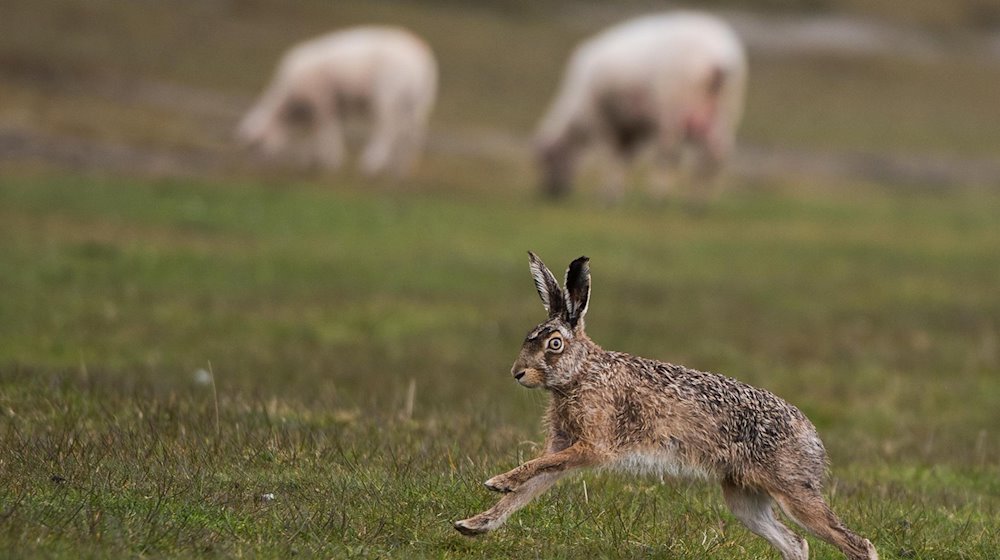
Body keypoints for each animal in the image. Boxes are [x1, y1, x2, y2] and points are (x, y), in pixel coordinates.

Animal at [238, 26, 438, 179]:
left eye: (255, 144)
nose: (252, 167)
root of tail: (420, 55)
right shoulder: (333, 105)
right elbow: (321, 131)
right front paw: (311, 159)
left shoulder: (322, 100)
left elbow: (326, 130)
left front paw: (330, 161)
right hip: (419, 103)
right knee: (411, 133)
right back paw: (400, 169)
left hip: (387, 94)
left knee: (388, 129)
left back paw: (371, 163)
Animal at [458, 254, 880, 560]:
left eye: (555, 344)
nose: (517, 373)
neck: (581, 374)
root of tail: (811, 434)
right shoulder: (565, 447)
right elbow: (530, 486)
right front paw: (474, 524)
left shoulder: (594, 446)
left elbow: (535, 469)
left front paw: (497, 481)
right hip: (743, 498)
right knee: (796, 543)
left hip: (793, 490)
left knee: (858, 544)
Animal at [536, 11, 748, 201]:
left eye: (548, 159)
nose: (551, 193)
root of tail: (717, 55)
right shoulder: (633, 129)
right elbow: (625, 160)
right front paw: (617, 192)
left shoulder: (602, 122)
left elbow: (610, 157)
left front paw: (608, 194)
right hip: (725, 111)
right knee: (716, 155)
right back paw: (698, 202)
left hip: (673, 108)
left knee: (669, 153)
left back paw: (658, 197)